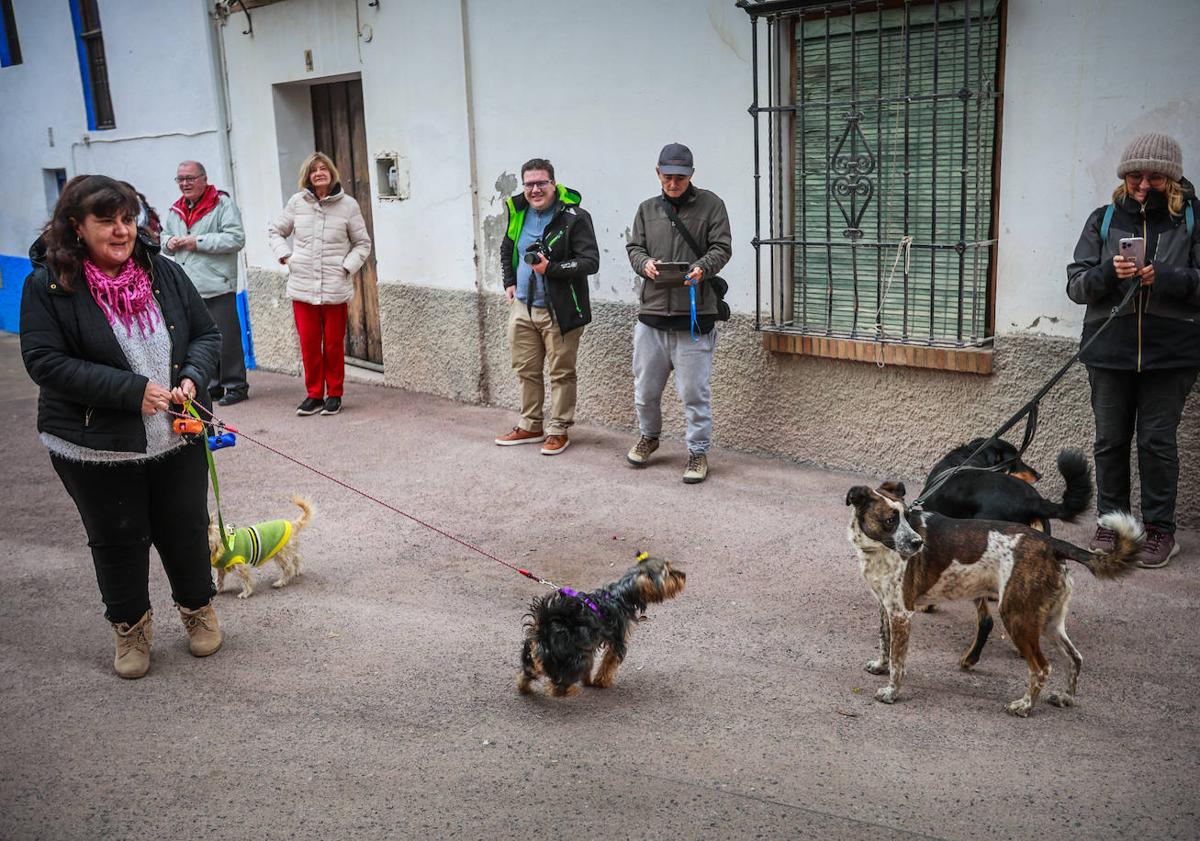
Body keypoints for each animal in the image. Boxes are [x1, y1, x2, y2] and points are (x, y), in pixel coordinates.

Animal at [844, 479, 1142, 715]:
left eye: (907, 516)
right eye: (890, 520)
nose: (918, 543)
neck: (877, 549)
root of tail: (1050, 545)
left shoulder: (901, 613)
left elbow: (898, 660)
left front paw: (892, 692)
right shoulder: (886, 607)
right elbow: (885, 642)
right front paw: (880, 666)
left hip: (1017, 615)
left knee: (1042, 667)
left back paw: (1025, 707)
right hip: (1049, 620)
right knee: (1075, 657)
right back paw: (1065, 698)